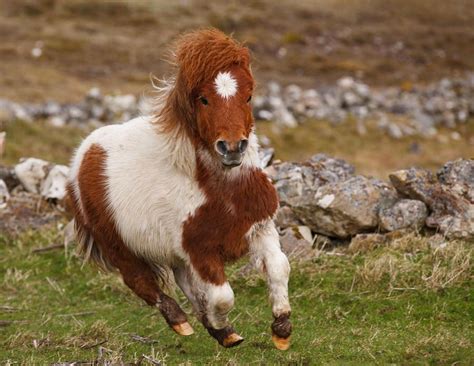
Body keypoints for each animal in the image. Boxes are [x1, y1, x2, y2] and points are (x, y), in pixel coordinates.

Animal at [65, 28, 290, 348]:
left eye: (248, 96)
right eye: (203, 99)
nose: (233, 148)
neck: (221, 192)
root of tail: (84, 152)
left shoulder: (260, 228)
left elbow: (279, 267)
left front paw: (281, 330)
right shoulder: (201, 252)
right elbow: (223, 297)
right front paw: (224, 328)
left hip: (173, 252)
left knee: (183, 281)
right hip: (118, 246)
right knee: (141, 283)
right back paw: (182, 322)